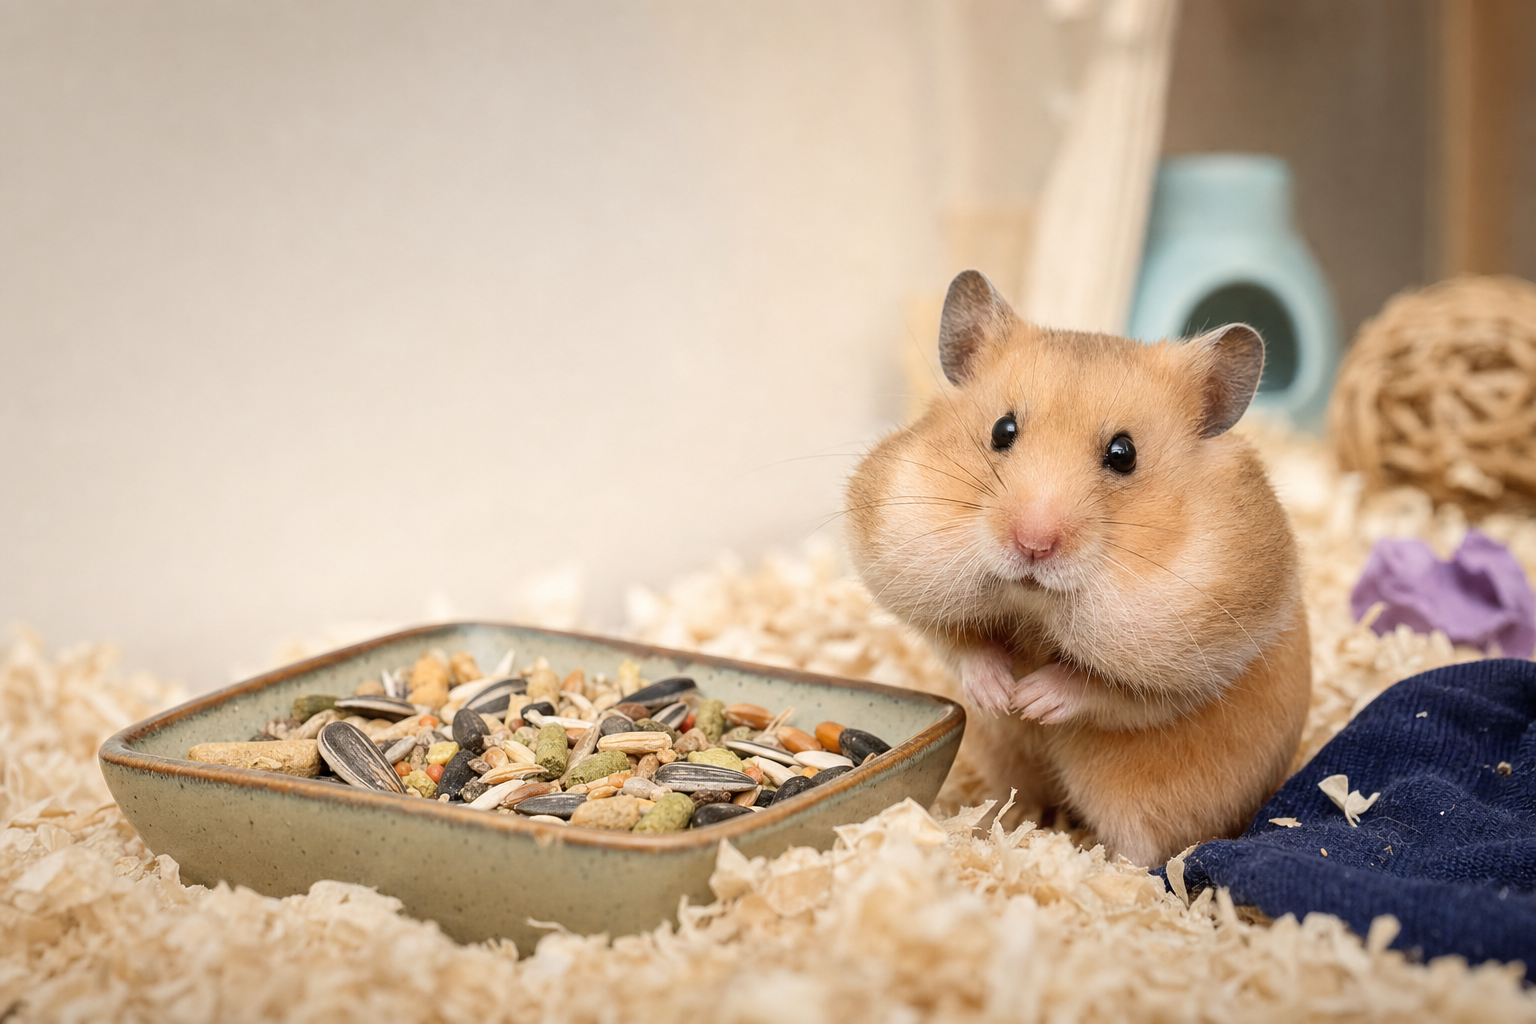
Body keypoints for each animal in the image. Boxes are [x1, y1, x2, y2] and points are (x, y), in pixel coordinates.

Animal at [846, 270, 1311, 866]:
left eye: (1123, 453)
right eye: (1002, 429)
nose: (1033, 544)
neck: (1033, 605)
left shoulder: (1193, 670)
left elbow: (1104, 690)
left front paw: (1032, 701)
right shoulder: (926, 604)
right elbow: (964, 646)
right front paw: (1000, 696)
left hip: (1142, 802)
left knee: (1142, 854)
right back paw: (997, 825)